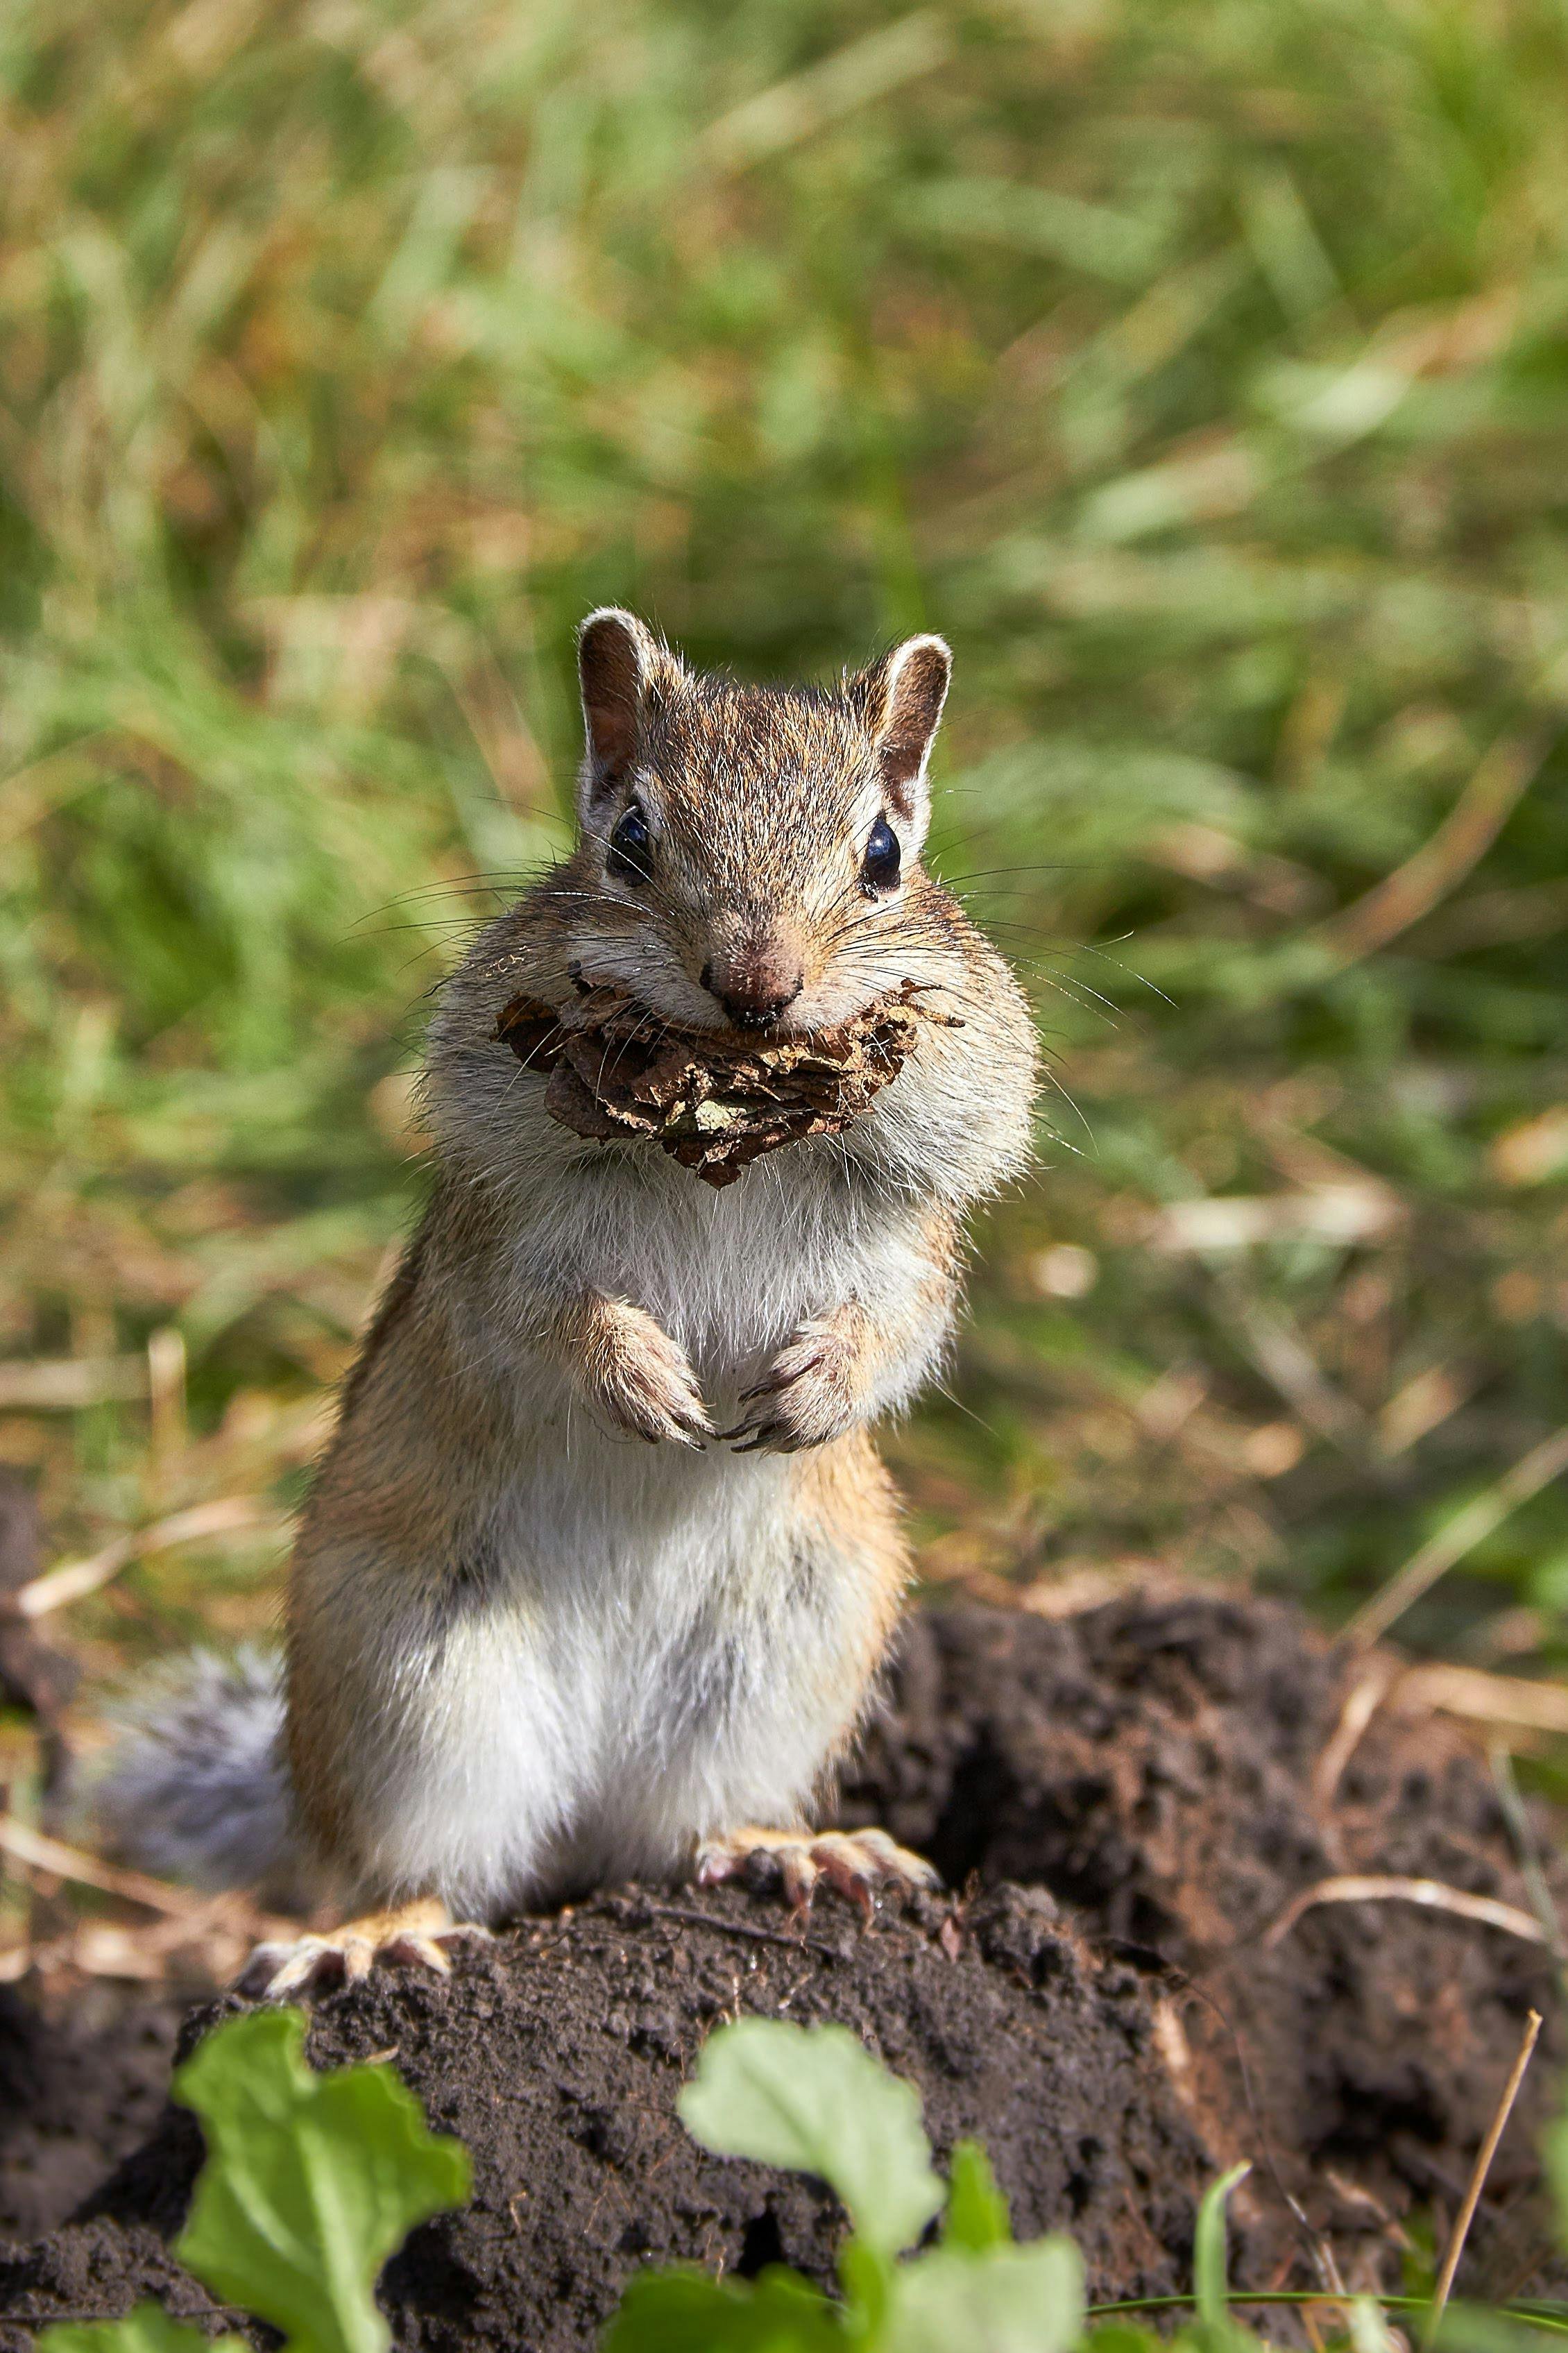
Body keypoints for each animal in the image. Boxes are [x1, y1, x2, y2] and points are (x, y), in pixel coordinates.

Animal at [96, 612, 1038, 1993]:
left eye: (883, 854)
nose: (756, 981)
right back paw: (374, 1931)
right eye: (630, 838)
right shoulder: (502, 1242)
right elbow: (541, 1321)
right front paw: (638, 1377)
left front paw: (817, 1387)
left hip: (779, 1663)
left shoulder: (912, 1244)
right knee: (420, 1863)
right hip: (418, 1697)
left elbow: (903, 1327)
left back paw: (790, 1849)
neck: (729, 1134)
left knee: (688, 1826)